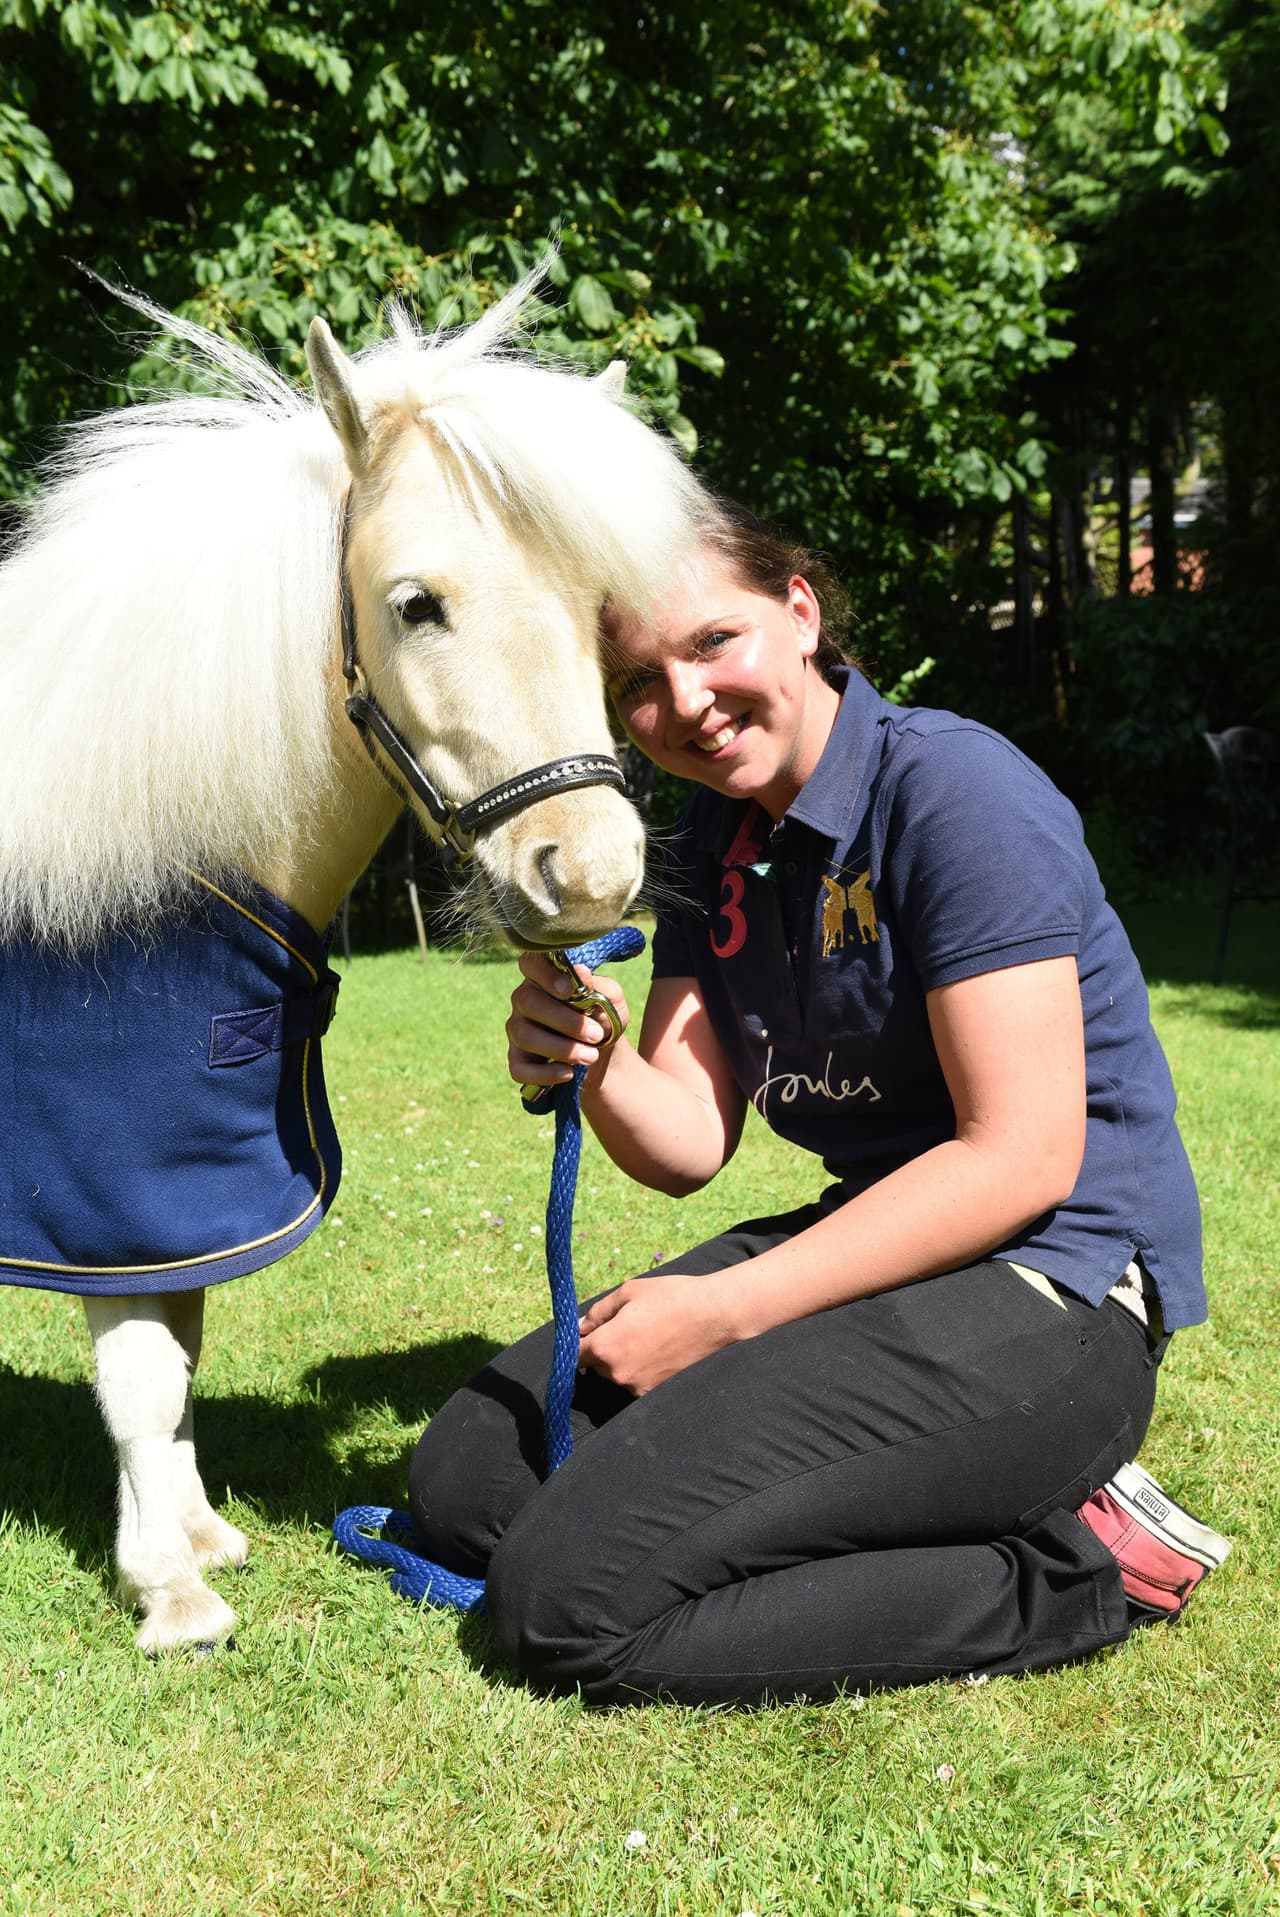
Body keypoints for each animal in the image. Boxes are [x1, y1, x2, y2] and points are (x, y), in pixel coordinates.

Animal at [0, 275, 710, 1652]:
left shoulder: (190, 1196)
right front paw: (171, 1593)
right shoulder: (113, 1195)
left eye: (594, 607)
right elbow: (142, 1370)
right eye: (414, 603)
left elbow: (181, 1349)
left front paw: (193, 1535)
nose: (591, 875)